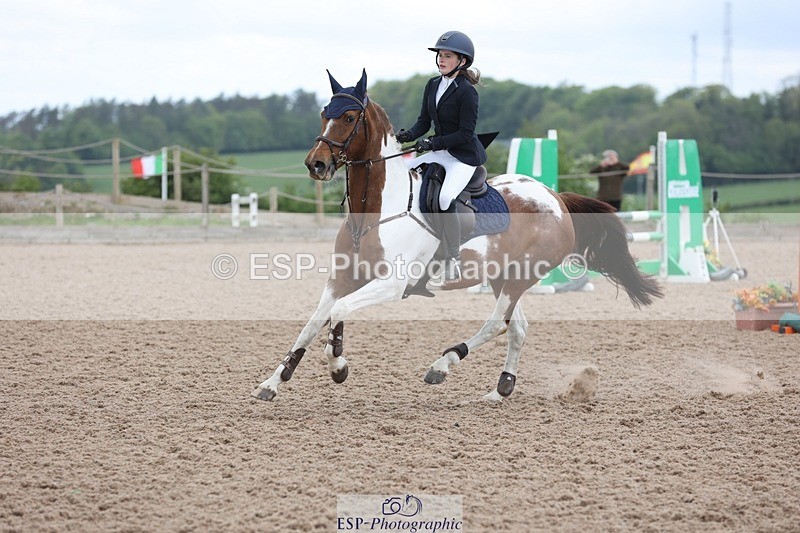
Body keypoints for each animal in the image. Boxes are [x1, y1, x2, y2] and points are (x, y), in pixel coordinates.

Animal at [251, 69, 663, 402]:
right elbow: (312, 323)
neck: (376, 211)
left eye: (350, 117)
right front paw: (273, 382)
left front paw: (338, 366)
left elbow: (336, 314)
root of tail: (555, 197)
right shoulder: (341, 278)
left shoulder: (391, 284)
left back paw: (442, 365)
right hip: (502, 277)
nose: (316, 164)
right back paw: (500, 389)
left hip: (520, 277)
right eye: (325, 113)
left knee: (498, 324)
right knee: (517, 327)